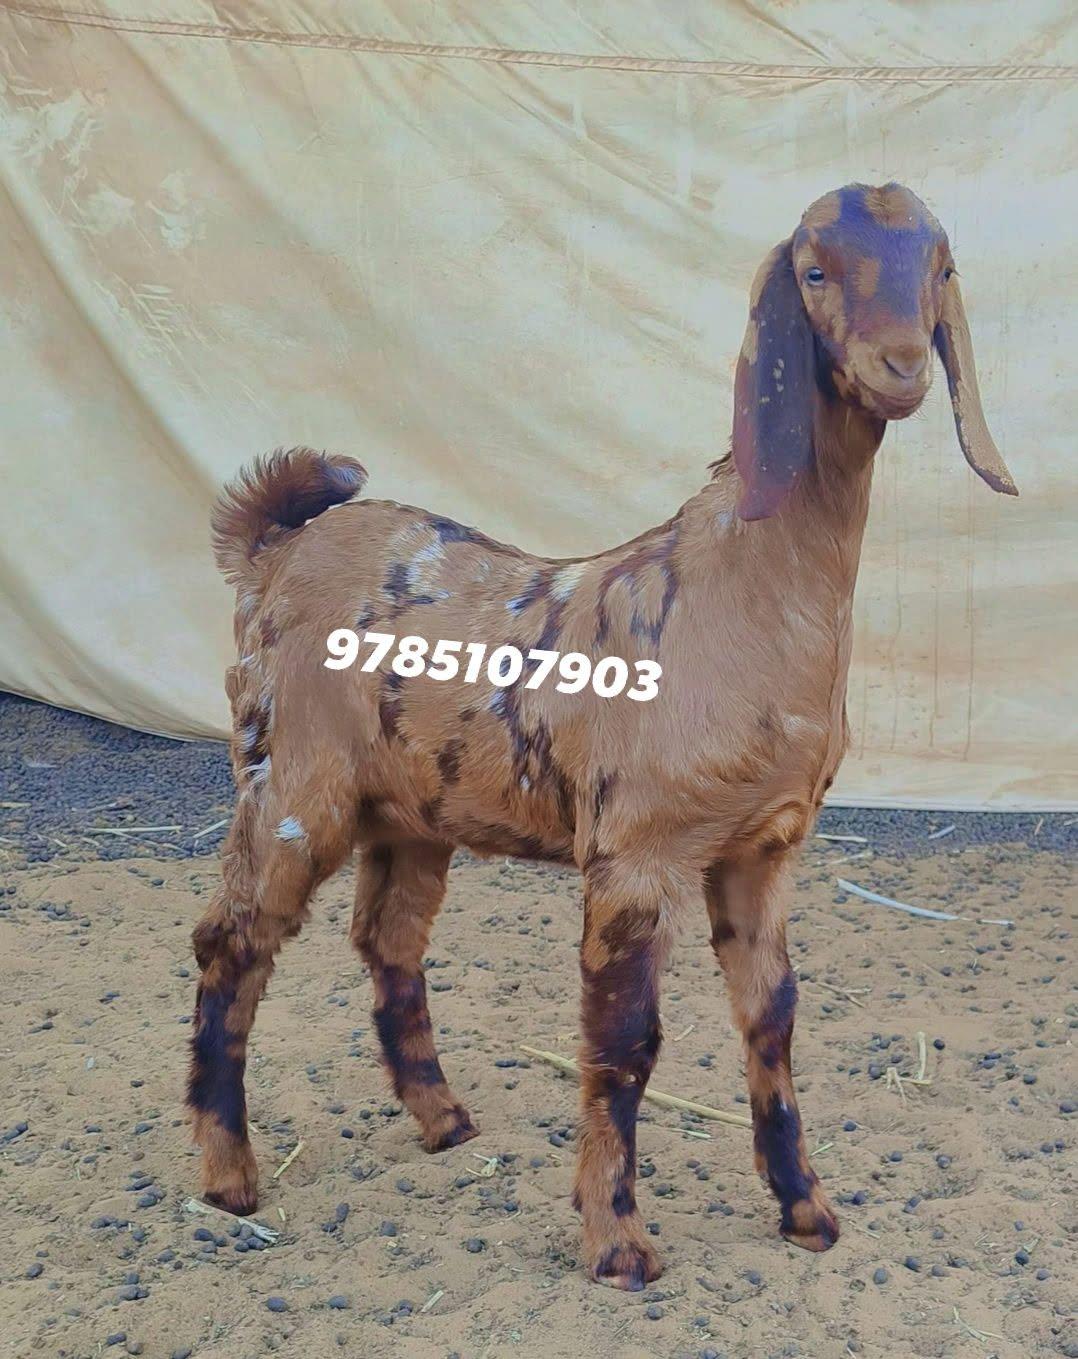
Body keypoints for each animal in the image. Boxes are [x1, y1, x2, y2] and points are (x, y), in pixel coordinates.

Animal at [188, 182, 1016, 1290]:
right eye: (814, 270)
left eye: (939, 266)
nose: (901, 366)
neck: (747, 590)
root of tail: (270, 549)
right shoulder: (637, 849)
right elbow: (626, 1042)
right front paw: (617, 1241)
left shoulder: (764, 847)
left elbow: (774, 1020)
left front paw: (806, 1208)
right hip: (288, 783)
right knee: (230, 944)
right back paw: (228, 1175)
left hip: (410, 810)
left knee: (388, 938)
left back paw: (444, 1120)